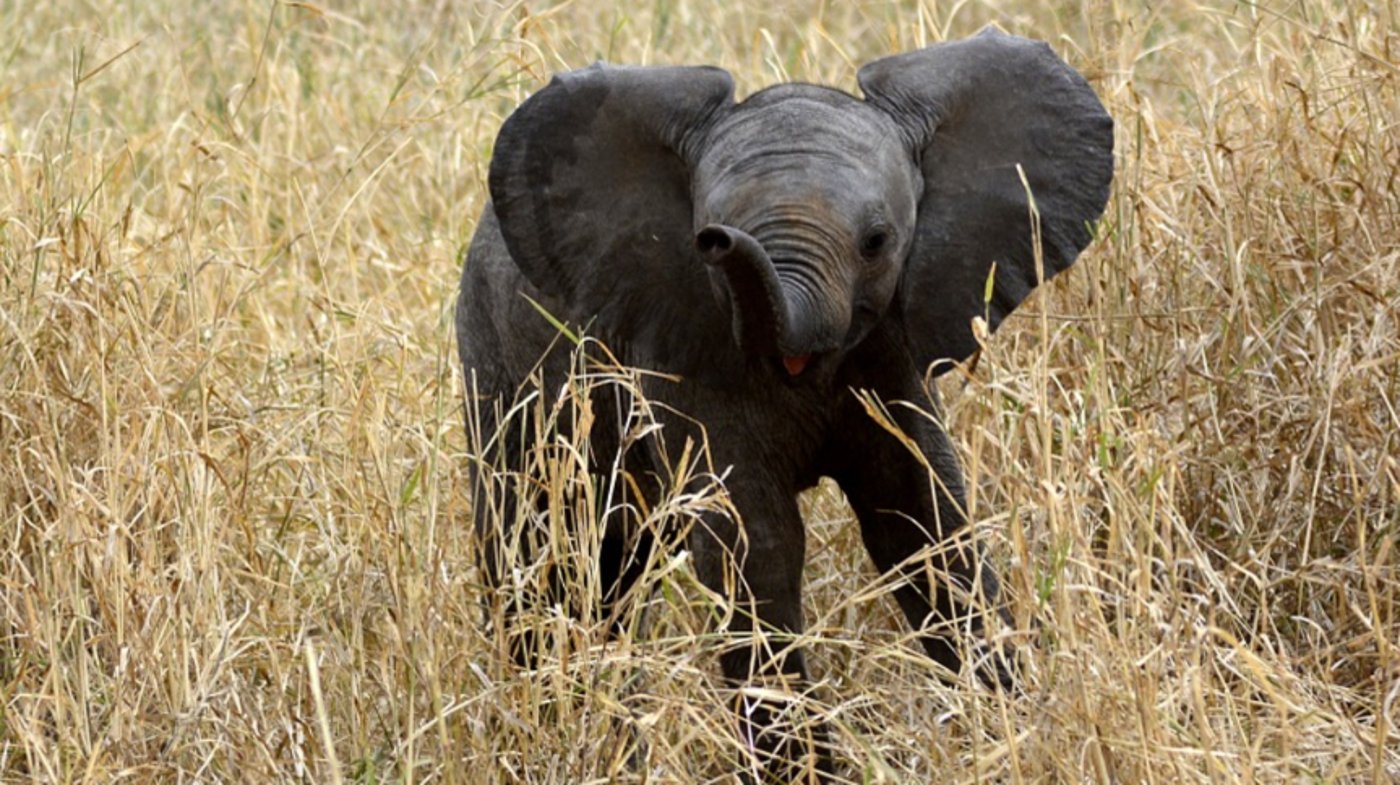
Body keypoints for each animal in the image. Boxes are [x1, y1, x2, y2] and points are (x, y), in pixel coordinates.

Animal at [456, 27, 1113, 779]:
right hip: (497, 365)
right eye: (704, 240)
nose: (721, 239)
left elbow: (924, 521)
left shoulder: (893, 349)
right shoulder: (684, 353)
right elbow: (756, 542)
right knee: (541, 553)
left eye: (877, 241)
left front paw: (1013, 729)